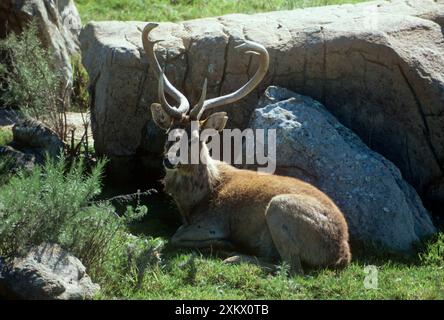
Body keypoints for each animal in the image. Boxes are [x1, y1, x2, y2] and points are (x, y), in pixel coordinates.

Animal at [141, 23, 350, 272]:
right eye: (169, 134)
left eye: (196, 138)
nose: (169, 160)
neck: (195, 202)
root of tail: (343, 254)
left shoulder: (213, 222)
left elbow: (176, 235)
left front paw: (224, 244)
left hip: (280, 209)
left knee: (291, 268)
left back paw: (236, 255)